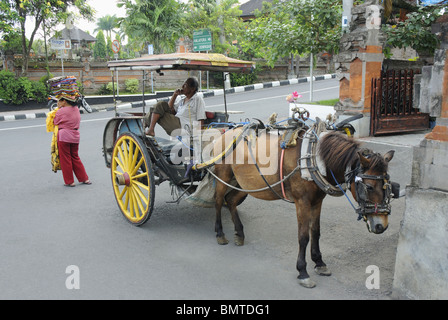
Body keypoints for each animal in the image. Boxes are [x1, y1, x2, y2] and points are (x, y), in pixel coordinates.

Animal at [212, 124, 394, 288]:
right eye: (369, 187)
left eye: (388, 185)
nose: (382, 226)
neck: (312, 158)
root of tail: (226, 133)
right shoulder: (302, 202)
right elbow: (303, 236)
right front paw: (303, 271)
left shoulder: (317, 201)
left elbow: (316, 232)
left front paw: (319, 262)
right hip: (223, 177)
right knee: (219, 201)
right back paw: (220, 233)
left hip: (243, 184)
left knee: (231, 200)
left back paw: (239, 233)